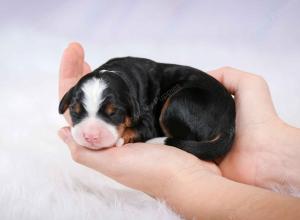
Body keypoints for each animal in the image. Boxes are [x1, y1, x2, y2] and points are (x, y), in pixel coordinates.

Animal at [58, 56, 236, 160]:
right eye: (75, 111)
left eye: (114, 113)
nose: (90, 136)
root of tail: (229, 124)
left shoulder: (148, 121)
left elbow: (138, 129)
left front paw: (121, 138)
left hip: (177, 102)